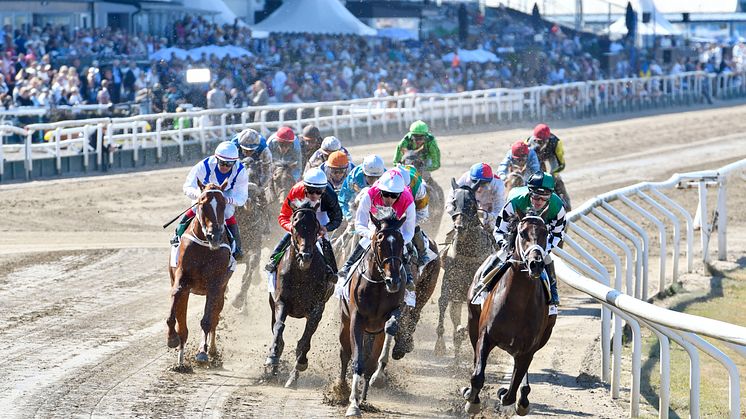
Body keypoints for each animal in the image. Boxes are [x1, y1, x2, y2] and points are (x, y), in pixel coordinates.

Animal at [167, 180, 234, 368]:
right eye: (202, 204)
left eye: (224, 203)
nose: (215, 236)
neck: (204, 246)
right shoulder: (181, 281)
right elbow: (174, 314)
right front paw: (172, 339)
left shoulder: (215, 285)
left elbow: (207, 320)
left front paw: (202, 352)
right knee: (183, 325)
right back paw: (180, 361)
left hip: (221, 291)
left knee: (215, 318)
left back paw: (210, 350)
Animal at [264, 199, 330, 388]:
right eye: (295, 225)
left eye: (316, 226)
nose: (304, 256)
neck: (302, 273)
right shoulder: (281, 301)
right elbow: (279, 327)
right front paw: (272, 357)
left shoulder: (317, 309)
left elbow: (304, 341)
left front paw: (299, 365)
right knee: (276, 328)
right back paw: (274, 367)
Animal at [338, 208, 406, 418]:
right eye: (379, 242)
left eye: (401, 242)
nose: (393, 281)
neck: (378, 283)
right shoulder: (356, 319)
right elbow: (357, 359)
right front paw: (353, 405)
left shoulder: (393, 311)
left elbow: (390, 328)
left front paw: (378, 378)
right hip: (344, 323)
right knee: (344, 353)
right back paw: (340, 389)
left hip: (375, 331)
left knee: (370, 360)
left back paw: (365, 394)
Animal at [430, 180, 494, 358]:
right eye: (453, 201)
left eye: (471, 203)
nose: (459, 226)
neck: (467, 252)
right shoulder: (449, 282)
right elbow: (442, 303)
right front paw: (440, 345)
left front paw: (462, 332)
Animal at [460, 217, 560, 416]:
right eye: (522, 233)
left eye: (545, 232)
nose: (536, 263)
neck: (518, 305)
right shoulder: (485, 335)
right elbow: (477, 375)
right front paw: (471, 400)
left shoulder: (528, 348)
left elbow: (512, 391)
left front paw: (506, 393)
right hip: (472, 321)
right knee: (476, 359)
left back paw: (523, 396)